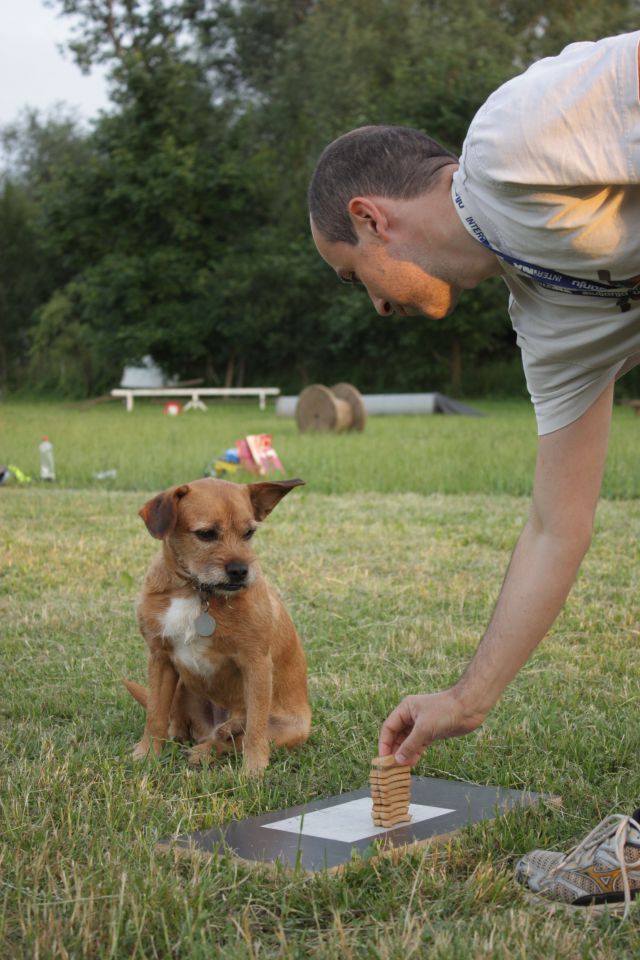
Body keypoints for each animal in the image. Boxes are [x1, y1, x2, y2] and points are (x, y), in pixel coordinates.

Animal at [125, 476, 310, 776]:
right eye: (206, 534)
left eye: (249, 533)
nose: (240, 571)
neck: (197, 592)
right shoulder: (160, 658)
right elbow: (155, 714)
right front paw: (147, 754)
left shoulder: (256, 663)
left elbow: (255, 729)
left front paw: (253, 770)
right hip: (182, 687)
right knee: (181, 725)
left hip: (290, 729)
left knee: (236, 737)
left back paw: (210, 746)